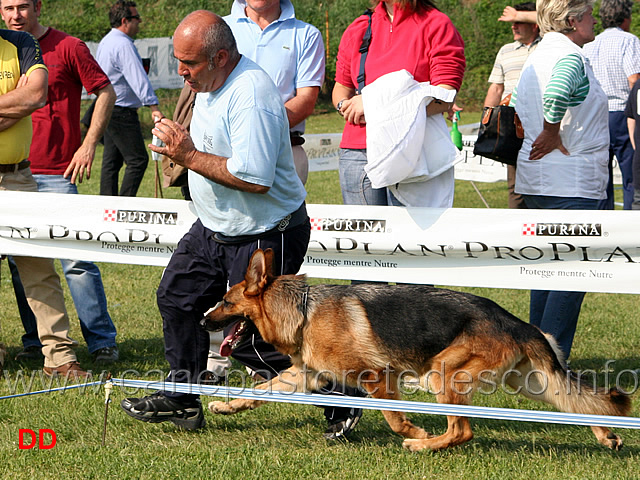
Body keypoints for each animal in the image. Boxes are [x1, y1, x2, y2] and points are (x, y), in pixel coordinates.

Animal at [201, 249, 632, 452]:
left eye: (225, 301)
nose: (203, 319)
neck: (305, 311)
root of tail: (519, 323)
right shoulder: (303, 375)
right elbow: (259, 391)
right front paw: (225, 405)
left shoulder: (377, 377)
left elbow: (393, 417)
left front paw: (413, 430)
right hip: (532, 384)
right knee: (576, 403)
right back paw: (606, 435)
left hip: (444, 374)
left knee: (463, 431)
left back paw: (423, 445)